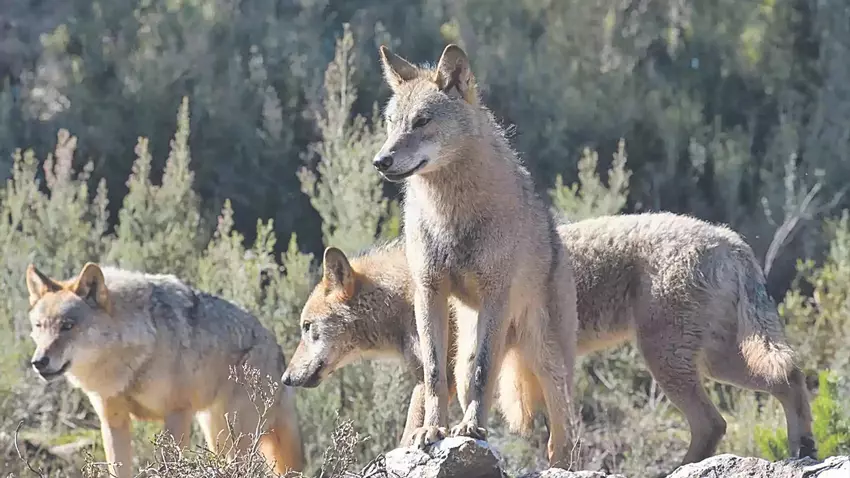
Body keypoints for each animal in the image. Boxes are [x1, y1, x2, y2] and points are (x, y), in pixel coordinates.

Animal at [25, 262, 304, 478]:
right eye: (39, 326)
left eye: (67, 326)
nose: (38, 361)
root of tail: (278, 351)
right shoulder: (113, 421)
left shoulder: (177, 415)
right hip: (218, 436)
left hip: (238, 438)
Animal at [283, 212, 817, 468]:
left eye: (307, 330)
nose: (286, 378)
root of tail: (732, 240)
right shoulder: (443, 377)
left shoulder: (451, 375)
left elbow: (415, 424)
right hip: (715, 362)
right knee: (786, 379)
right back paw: (803, 448)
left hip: (671, 363)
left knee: (717, 419)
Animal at [370, 43, 580, 467]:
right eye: (392, 123)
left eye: (422, 121)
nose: (380, 161)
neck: (451, 215)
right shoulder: (428, 292)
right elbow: (434, 374)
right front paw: (432, 431)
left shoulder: (495, 294)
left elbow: (485, 372)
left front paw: (469, 429)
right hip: (471, 344)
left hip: (546, 359)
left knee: (561, 437)